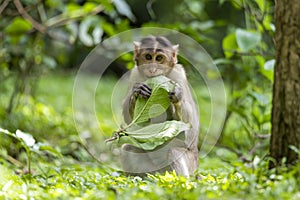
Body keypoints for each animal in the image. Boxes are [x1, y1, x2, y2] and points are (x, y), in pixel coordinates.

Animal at [119, 36, 199, 177]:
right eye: (148, 57)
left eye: (159, 58)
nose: (152, 69)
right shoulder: (135, 74)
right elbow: (131, 120)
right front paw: (137, 91)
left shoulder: (179, 75)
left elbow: (190, 128)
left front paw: (177, 95)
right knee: (127, 148)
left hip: (190, 164)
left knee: (174, 152)